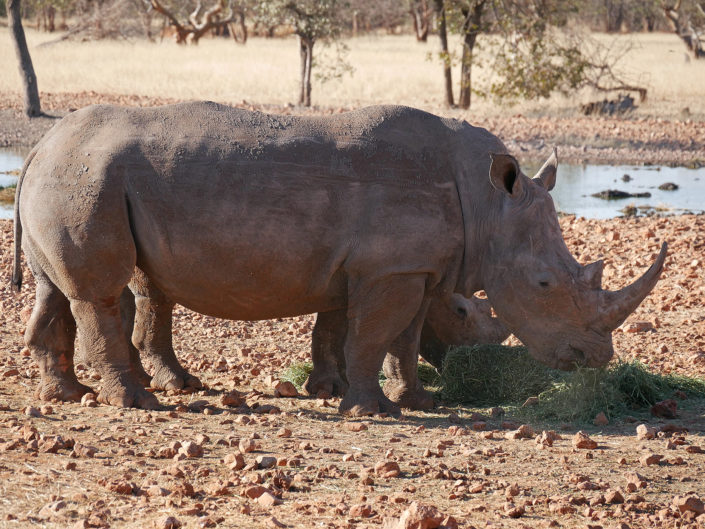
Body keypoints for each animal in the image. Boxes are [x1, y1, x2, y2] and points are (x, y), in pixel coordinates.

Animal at [12, 102, 666, 416]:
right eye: (544, 283)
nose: (596, 359)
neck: (486, 204)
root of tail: (40, 146)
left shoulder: (404, 266)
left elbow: (393, 335)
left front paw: (414, 402)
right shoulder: (391, 268)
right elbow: (374, 334)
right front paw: (368, 409)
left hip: (73, 179)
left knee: (57, 289)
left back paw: (67, 394)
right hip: (89, 180)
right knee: (98, 292)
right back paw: (137, 403)